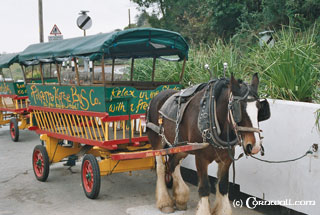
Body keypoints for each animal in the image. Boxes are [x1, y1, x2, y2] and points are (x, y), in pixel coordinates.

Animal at [146, 73, 270, 214]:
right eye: (237, 109)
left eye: (260, 109)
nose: (254, 146)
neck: (212, 118)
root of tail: (157, 96)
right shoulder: (201, 158)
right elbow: (204, 187)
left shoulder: (226, 159)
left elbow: (223, 186)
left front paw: (222, 210)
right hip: (157, 141)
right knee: (161, 167)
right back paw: (165, 202)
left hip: (181, 146)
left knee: (173, 164)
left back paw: (180, 198)